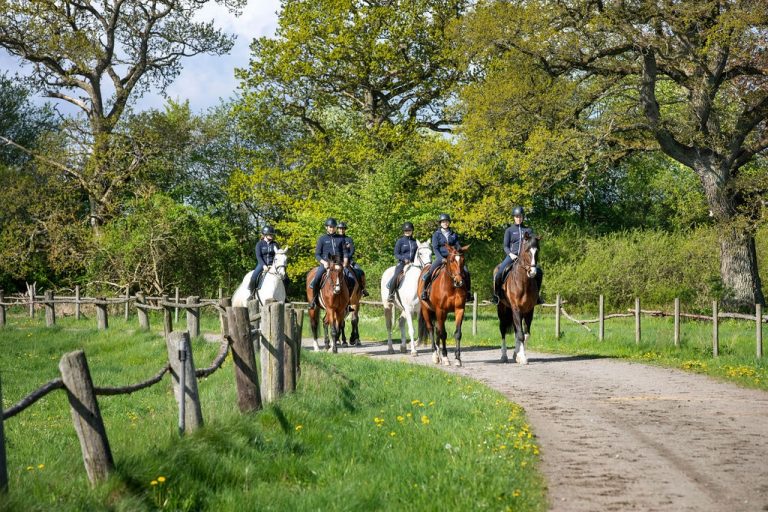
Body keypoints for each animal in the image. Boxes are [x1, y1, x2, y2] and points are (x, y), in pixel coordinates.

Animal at [498, 232, 540, 364]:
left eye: (537, 251)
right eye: (527, 251)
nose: (532, 272)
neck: (524, 282)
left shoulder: (529, 310)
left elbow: (525, 334)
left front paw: (517, 354)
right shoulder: (516, 309)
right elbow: (520, 334)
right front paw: (522, 357)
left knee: (517, 331)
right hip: (502, 310)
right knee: (502, 329)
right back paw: (504, 356)